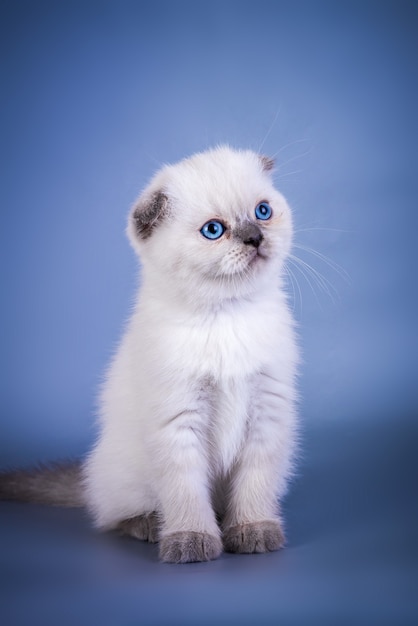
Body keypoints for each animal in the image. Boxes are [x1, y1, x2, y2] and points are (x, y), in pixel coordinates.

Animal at [0, 145, 300, 560]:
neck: (227, 314)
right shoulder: (177, 419)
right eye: (213, 230)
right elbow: (186, 491)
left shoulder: (266, 411)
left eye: (263, 211)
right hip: (126, 475)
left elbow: (254, 483)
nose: (255, 237)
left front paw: (253, 531)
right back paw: (149, 527)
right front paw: (191, 540)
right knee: (115, 514)